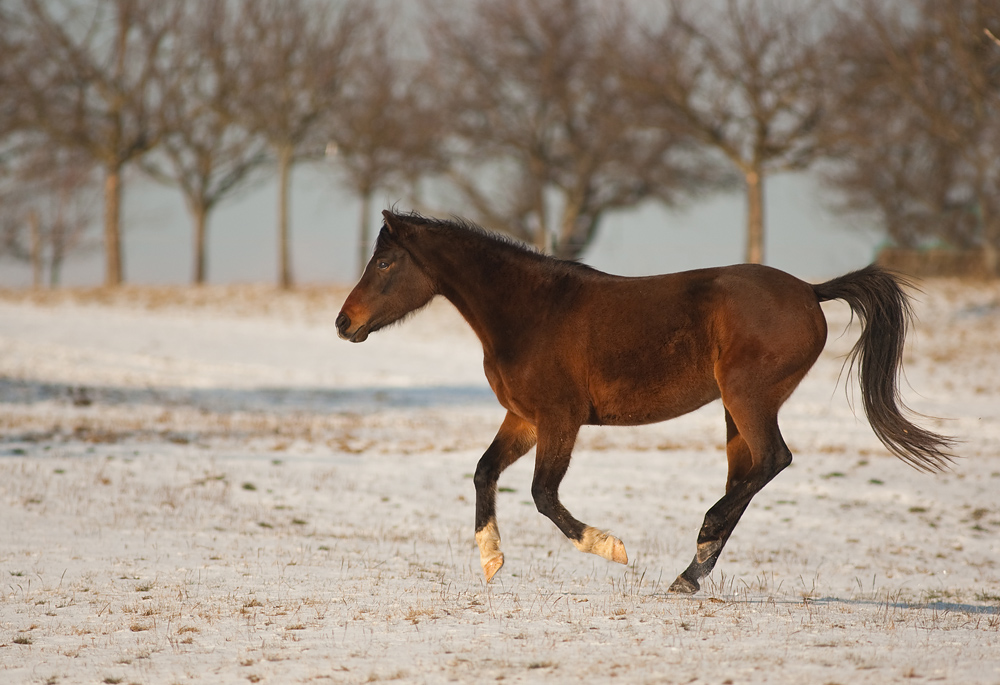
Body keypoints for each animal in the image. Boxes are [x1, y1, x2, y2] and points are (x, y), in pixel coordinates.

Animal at [336, 208, 952, 592]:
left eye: (386, 263)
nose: (345, 323)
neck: (531, 312)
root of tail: (810, 291)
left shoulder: (560, 419)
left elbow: (543, 494)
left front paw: (610, 547)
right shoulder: (524, 418)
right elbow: (485, 472)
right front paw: (490, 560)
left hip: (748, 398)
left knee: (772, 461)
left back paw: (699, 544)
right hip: (734, 410)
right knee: (748, 474)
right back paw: (691, 571)